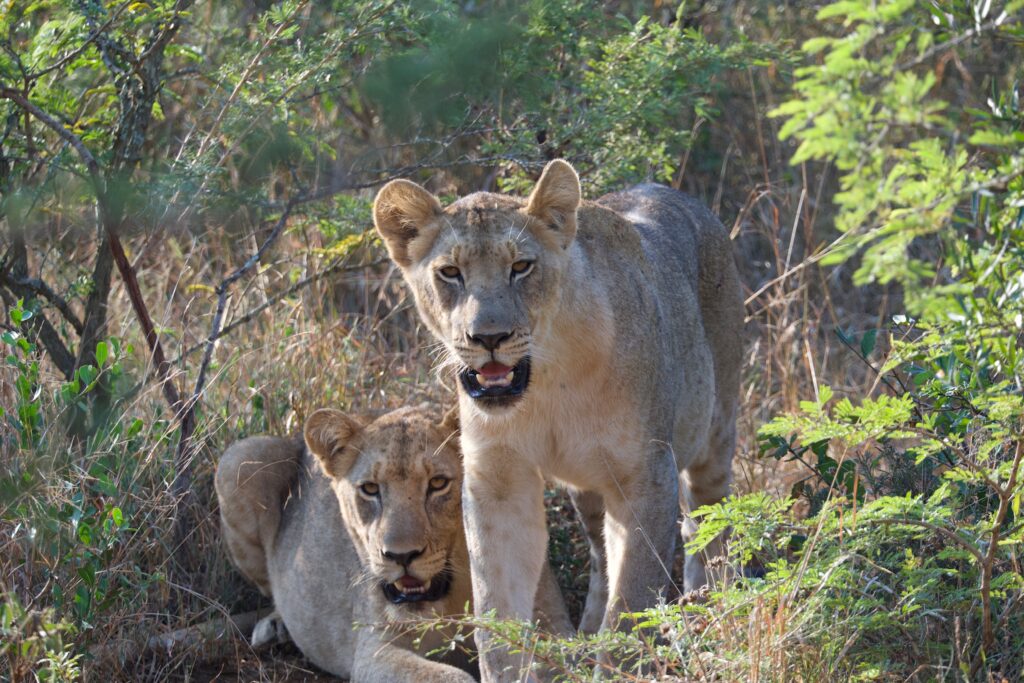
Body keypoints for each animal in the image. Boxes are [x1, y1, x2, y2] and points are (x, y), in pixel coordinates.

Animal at [216, 405, 571, 681]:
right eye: (370, 489)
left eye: (438, 483)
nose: (401, 556)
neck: (452, 598)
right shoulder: (373, 652)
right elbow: (451, 676)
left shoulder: (550, 622)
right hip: (238, 458)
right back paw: (274, 627)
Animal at [373, 160, 744, 679]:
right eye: (450, 273)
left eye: (521, 267)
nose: (489, 337)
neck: (547, 381)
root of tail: (674, 193)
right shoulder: (498, 480)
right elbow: (496, 607)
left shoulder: (647, 475)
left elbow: (632, 601)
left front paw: (618, 666)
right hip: (587, 489)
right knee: (600, 553)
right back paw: (585, 634)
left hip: (715, 431)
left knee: (709, 523)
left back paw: (707, 611)